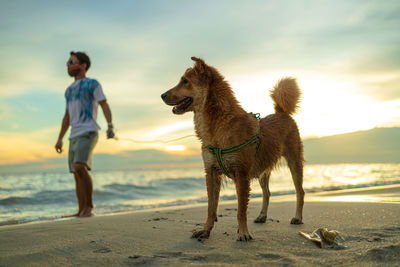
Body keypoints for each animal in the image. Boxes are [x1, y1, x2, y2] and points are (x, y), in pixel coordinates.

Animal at [161, 57, 304, 242]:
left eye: (185, 81)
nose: (162, 95)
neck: (220, 123)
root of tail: (281, 113)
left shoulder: (241, 174)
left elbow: (241, 209)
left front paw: (243, 232)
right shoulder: (211, 172)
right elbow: (211, 206)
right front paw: (205, 230)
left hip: (294, 161)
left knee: (300, 191)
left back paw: (297, 217)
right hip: (263, 168)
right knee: (267, 193)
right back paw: (262, 216)